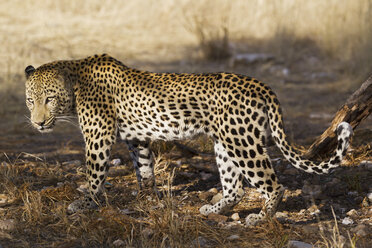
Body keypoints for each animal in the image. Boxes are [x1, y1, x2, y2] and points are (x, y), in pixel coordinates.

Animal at [24, 54, 354, 225]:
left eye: (49, 99)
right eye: (30, 100)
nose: (38, 123)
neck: (74, 86)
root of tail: (263, 86)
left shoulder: (98, 136)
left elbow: (94, 174)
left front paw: (84, 203)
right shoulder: (136, 139)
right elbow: (144, 170)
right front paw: (146, 199)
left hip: (242, 143)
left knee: (273, 184)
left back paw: (261, 218)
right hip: (226, 143)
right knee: (234, 187)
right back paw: (214, 209)